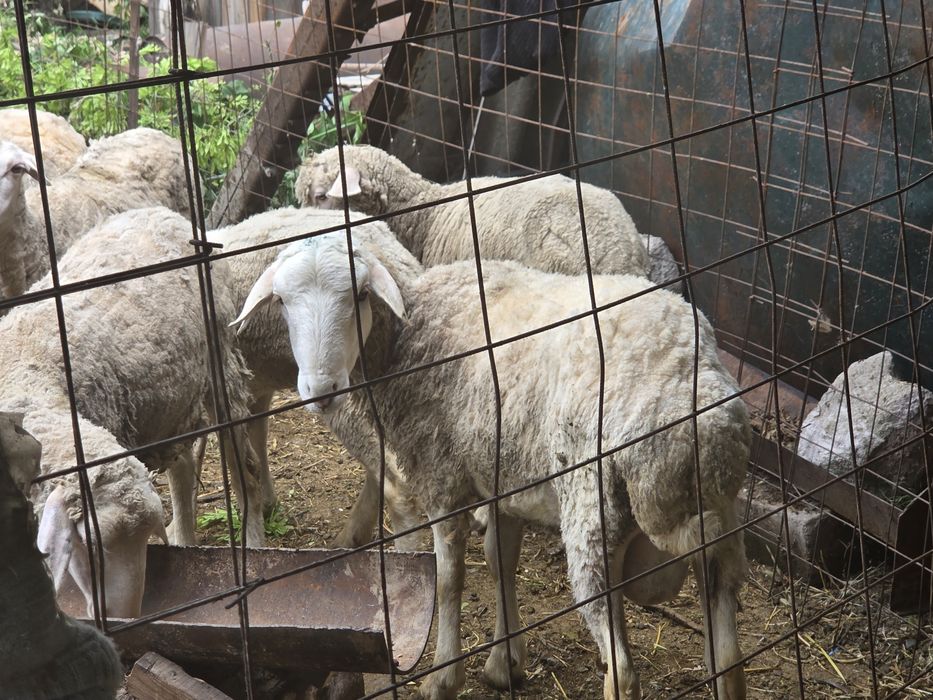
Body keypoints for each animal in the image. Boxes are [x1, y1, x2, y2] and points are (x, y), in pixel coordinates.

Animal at [0, 206, 265, 616]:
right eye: (88, 546)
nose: (122, 618)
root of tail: (162, 213)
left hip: (220, 360)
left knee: (242, 473)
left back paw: (253, 542)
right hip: (166, 401)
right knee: (183, 468)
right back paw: (185, 537)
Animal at [208, 205, 423, 549]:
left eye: (362, 293)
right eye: (279, 300)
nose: (321, 389)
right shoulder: (251, 387)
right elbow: (256, 437)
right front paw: (268, 505)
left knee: (397, 486)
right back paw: (351, 536)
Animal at [233, 229, 751, 700]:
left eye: (359, 294)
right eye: (281, 302)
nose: (321, 390)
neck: (409, 333)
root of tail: (693, 407)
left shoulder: (442, 476)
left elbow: (448, 579)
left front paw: (444, 677)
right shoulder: (504, 474)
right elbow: (501, 561)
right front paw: (506, 663)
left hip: (593, 514)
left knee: (622, 672)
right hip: (722, 521)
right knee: (728, 658)